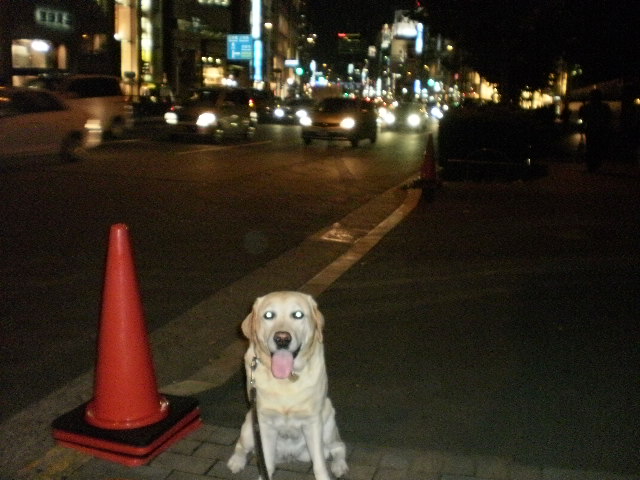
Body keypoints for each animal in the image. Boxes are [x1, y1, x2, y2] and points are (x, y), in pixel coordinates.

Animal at [228, 290, 348, 478]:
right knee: (241, 447)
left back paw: (339, 466)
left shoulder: (313, 422)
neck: (285, 380)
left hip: (328, 425)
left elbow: (319, 464)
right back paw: (236, 462)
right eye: (269, 315)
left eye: (298, 315)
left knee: (338, 448)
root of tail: (290, 454)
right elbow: (267, 465)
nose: (282, 339)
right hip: (249, 428)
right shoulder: (263, 424)